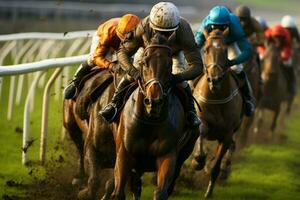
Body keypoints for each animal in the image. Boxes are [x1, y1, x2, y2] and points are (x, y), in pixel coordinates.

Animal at [192, 28, 244, 198]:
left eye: (225, 50)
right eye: (206, 49)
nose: (214, 80)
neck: (216, 96)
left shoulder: (227, 133)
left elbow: (216, 165)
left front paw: (208, 191)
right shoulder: (201, 119)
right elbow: (200, 132)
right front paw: (197, 160)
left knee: (230, 147)